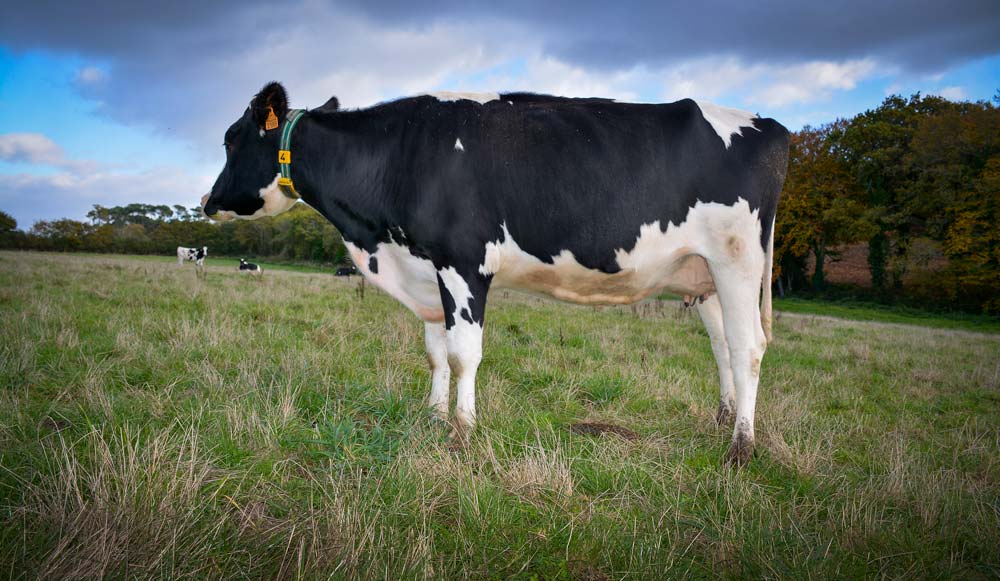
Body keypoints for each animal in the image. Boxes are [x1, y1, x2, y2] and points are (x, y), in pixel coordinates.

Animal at [203, 81, 788, 464]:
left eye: (230, 138)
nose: (208, 202)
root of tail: (768, 124)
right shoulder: (429, 271)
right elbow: (436, 352)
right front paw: (434, 418)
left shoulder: (464, 262)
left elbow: (464, 354)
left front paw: (461, 434)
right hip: (703, 275)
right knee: (722, 345)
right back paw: (722, 419)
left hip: (737, 259)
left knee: (749, 347)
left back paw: (741, 447)